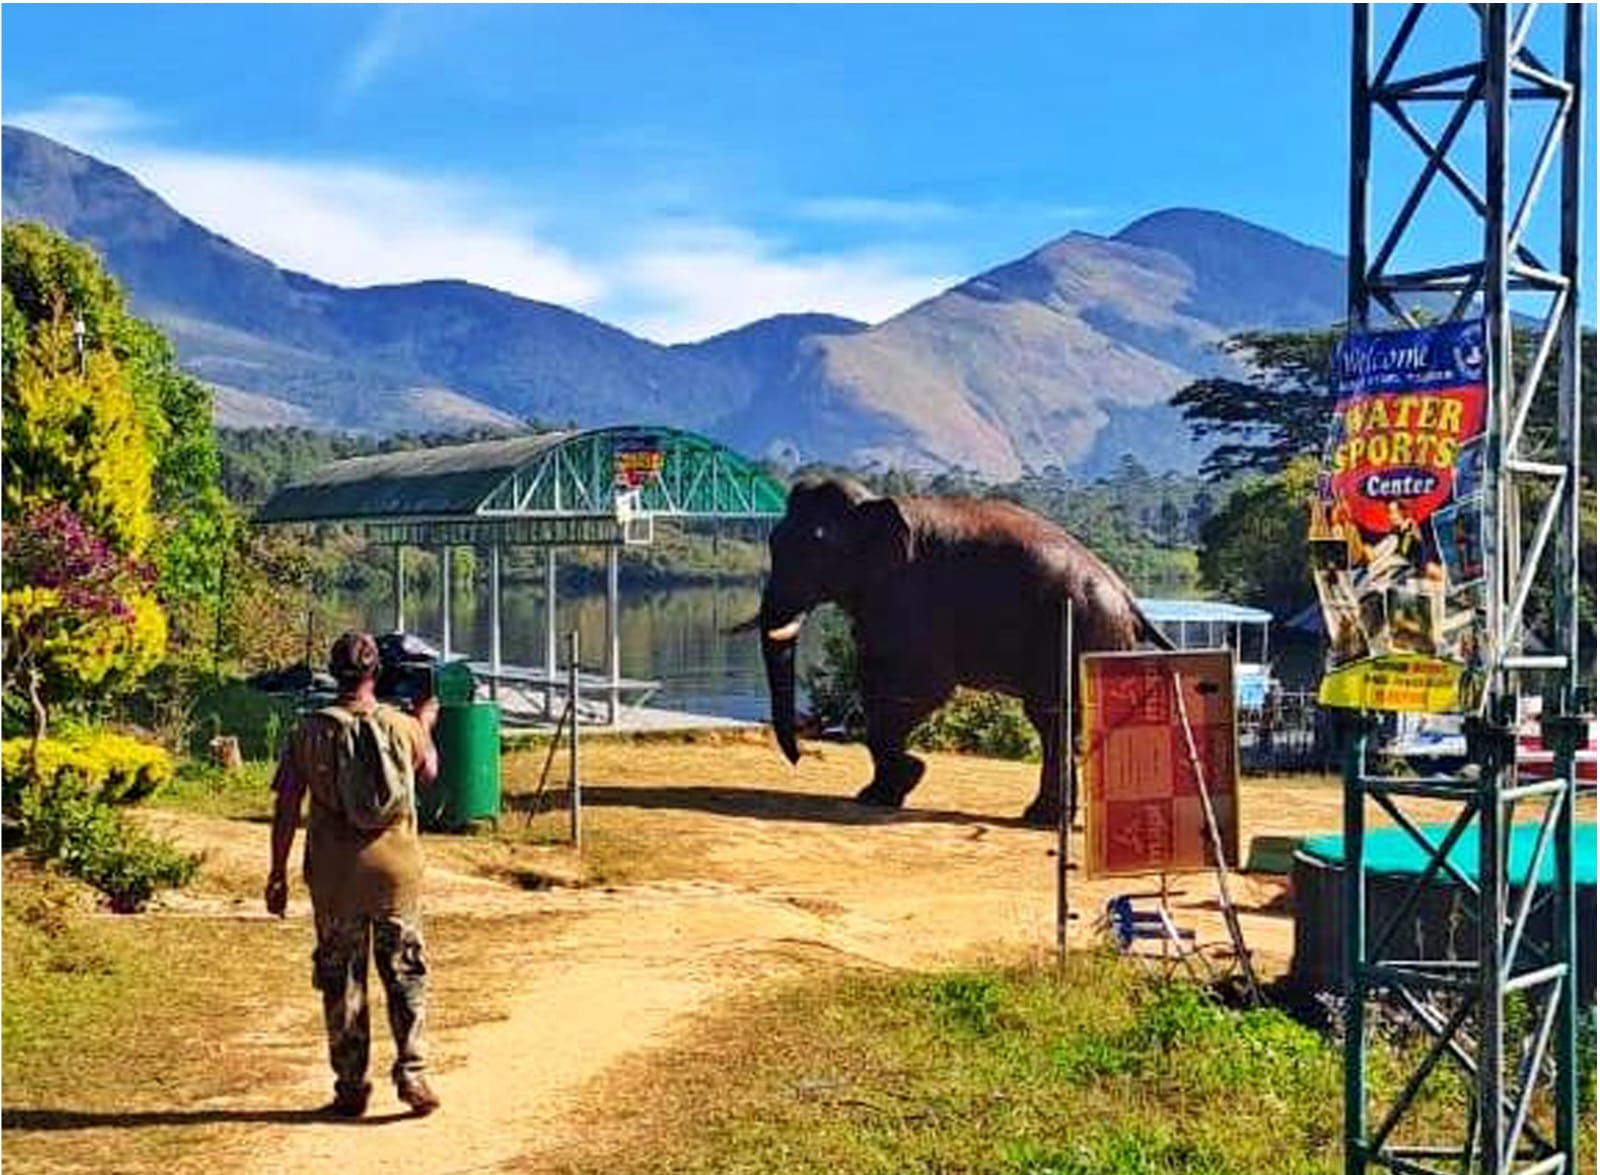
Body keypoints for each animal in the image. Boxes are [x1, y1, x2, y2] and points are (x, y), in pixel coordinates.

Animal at [750, 477, 1172, 826]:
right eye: (773, 542)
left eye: (814, 549)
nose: (798, 757)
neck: (873, 503)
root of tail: (1126, 594)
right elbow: (873, 676)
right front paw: (879, 792)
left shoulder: (914, 597)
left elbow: (919, 688)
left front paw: (903, 779)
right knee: (1055, 720)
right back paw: (1044, 819)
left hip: (1080, 633)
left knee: (1050, 714)